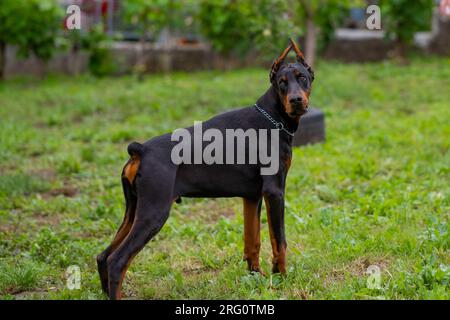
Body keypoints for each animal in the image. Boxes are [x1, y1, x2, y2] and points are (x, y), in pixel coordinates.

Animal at [96, 38, 312, 300]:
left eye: (302, 78)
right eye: (282, 82)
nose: (296, 100)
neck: (272, 118)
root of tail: (141, 149)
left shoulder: (252, 196)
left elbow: (252, 241)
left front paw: (256, 276)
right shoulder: (275, 192)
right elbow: (279, 241)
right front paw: (281, 278)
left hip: (134, 208)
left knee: (103, 256)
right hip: (154, 211)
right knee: (117, 260)